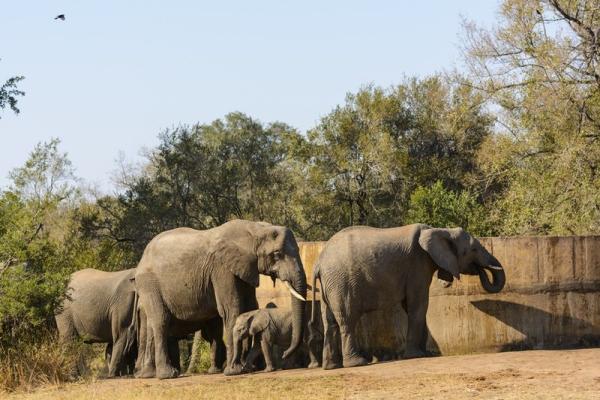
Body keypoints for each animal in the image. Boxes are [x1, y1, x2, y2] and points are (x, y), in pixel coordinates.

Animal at [134, 219, 308, 378]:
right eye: (277, 254)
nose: (285, 354)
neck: (255, 229)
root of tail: (142, 259)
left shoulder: (245, 269)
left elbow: (250, 306)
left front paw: (246, 369)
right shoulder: (222, 269)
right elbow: (232, 309)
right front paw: (234, 372)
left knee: (152, 324)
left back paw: (149, 375)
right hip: (149, 284)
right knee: (161, 320)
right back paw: (168, 375)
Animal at [314, 223, 506, 370]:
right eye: (473, 249)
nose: (481, 269)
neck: (441, 230)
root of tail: (319, 262)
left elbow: (413, 307)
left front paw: (427, 354)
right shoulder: (417, 264)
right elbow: (418, 304)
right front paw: (417, 355)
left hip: (330, 284)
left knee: (330, 322)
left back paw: (331, 367)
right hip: (341, 283)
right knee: (347, 320)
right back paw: (358, 363)